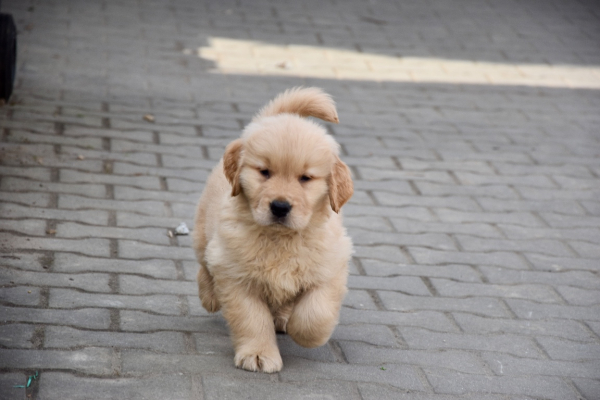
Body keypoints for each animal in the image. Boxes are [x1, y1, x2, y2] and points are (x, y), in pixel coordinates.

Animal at [192, 86, 352, 374]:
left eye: (305, 178)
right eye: (264, 172)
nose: (280, 206)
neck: (280, 238)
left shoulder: (331, 266)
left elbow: (316, 314)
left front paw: (304, 333)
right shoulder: (236, 275)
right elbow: (252, 319)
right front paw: (258, 354)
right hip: (204, 234)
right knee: (204, 264)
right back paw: (209, 295)